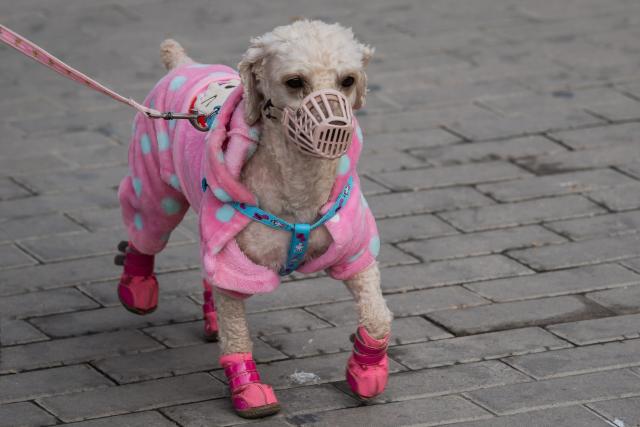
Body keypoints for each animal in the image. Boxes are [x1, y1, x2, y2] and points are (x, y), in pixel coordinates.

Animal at [117, 19, 392, 418]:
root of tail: (183, 63)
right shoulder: (234, 262)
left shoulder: (353, 250)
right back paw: (136, 286)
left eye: (348, 80)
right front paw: (249, 389)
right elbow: (237, 335)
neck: (297, 191)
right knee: (147, 226)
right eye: (294, 82)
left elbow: (378, 317)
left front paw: (367, 370)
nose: (336, 128)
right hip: (155, 179)